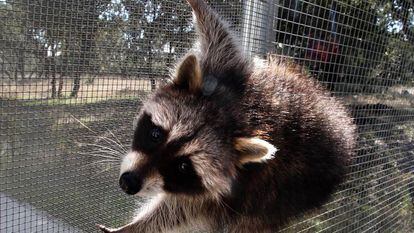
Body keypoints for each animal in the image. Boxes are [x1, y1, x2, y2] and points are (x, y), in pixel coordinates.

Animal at [97, 0, 356, 233]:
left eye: (183, 166)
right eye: (155, 134)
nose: (129, 183)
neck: (238, 116)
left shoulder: (238, 188)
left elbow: (185, 210)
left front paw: (134, 226)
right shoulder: (231, 75)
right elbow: (221, 38)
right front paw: (199, 7)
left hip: (281, 201)